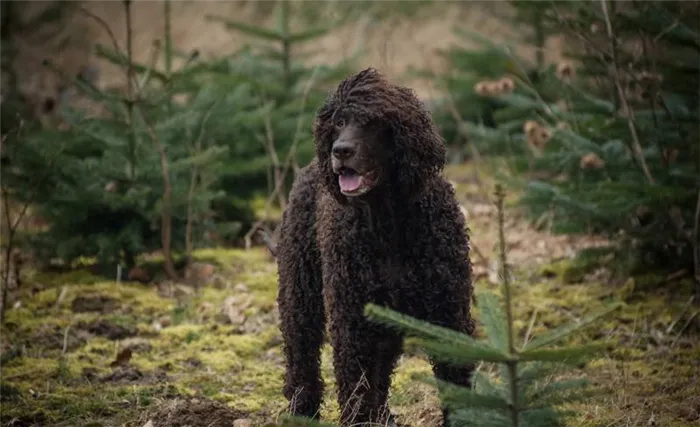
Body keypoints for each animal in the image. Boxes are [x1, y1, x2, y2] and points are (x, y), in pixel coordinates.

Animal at [274, 68, 476, 426]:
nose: (339, 151)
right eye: (339, 121)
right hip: (300, 292)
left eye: (372, 122)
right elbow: (355, 380)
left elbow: (454, 376)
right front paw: (359, 420)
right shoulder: (352, 316)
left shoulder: (448, 312)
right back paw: (302, 410)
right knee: (301, 353)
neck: (388, 224)